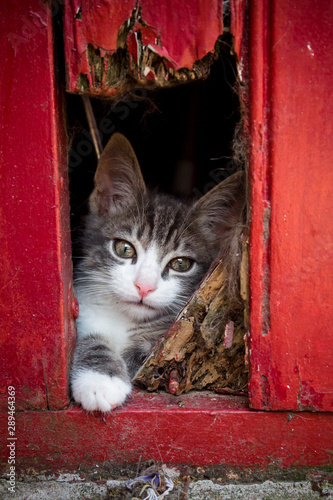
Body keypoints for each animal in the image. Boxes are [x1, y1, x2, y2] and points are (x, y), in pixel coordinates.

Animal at [70, 133, 244, 410]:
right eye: (124, 249)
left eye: (181, 264)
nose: (144, 286)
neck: (127, 319)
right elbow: (86, 338)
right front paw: (99, 380)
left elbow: (150, 359)